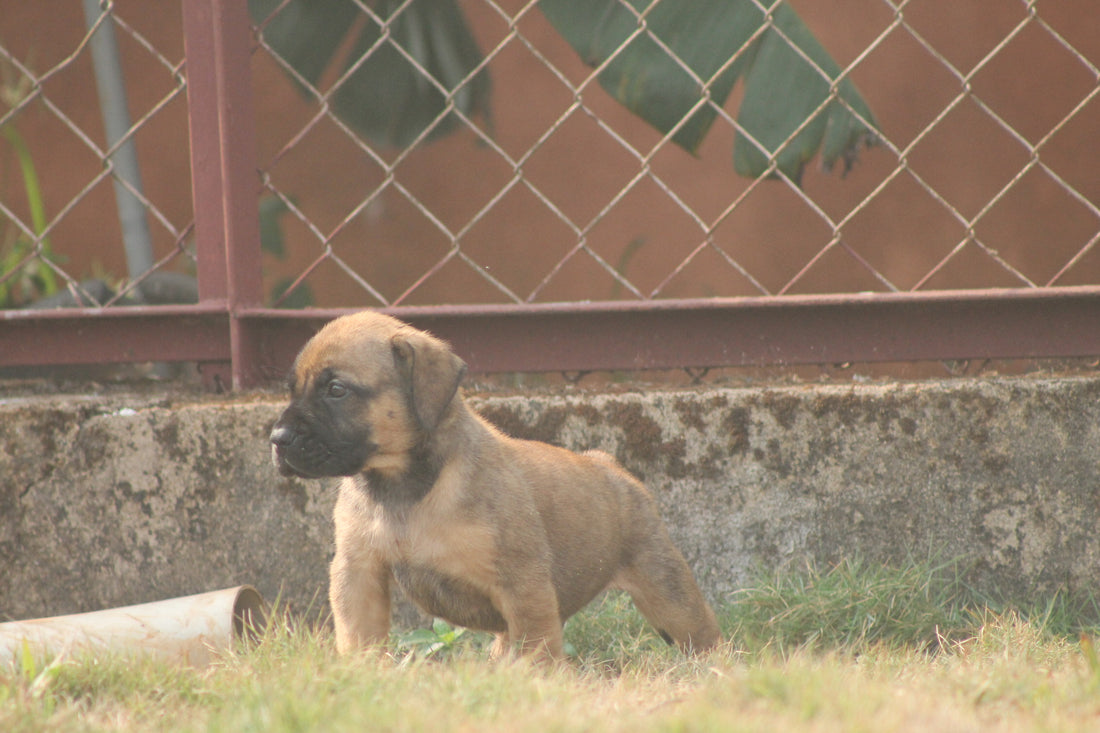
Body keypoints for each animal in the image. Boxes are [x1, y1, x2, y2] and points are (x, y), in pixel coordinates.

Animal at [270, 310, 721, 655]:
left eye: (336, 389)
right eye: (291, 389)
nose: (277, 439)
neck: (403, 484)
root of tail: (608, 465)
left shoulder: (522, 586)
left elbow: (539, 655)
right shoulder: (359, 574)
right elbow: (359, 640)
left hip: (667, 593)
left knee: (705, 636)